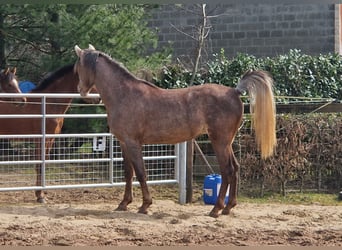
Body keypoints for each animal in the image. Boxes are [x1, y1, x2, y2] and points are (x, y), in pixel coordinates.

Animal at [0, 64, 97, 203]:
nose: (99, 98)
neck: (48, 104)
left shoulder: (50, 139)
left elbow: (44, 163)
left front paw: (42, 193)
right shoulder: (41, 139)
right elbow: (39, 165)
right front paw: (39, 196)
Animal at [73, 45, 276, 217]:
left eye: (77, 68)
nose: (81, 91)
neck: (124, 94)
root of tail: (234, 91)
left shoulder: (133, 143)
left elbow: (141, 173)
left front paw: (145, 205)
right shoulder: (124, 143)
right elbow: (128, 173)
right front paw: (124, 204)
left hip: (219, 141)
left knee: (227, 170)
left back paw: (216, 209)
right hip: (227, 143)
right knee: (235, 168)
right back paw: (228, 207)